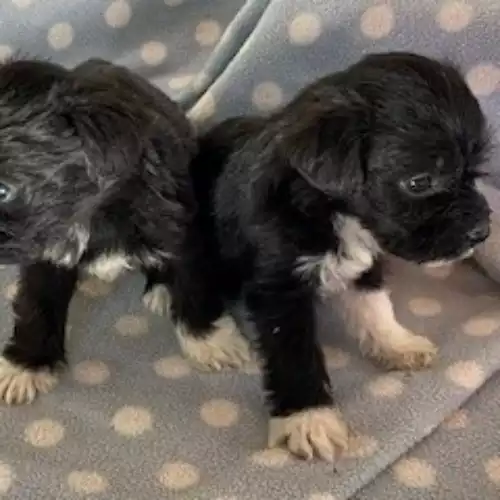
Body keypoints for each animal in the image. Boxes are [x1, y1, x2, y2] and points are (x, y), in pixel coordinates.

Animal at [0, 57, 250, 402]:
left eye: (3, 190)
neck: (92, 212)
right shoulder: (43, 251)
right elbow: (36, 301)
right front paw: (25, 365)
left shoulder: (178, 227)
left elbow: (193, 281)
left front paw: (210, 340)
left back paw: (162, 289)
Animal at [191, 52, 492, 462]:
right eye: (420, 182)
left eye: (473, 170)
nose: (482, 232)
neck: (332, 210)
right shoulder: (279, 289)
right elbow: (293, 350)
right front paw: (309, 418)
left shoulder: (364, 265)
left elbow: (375, 307)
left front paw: (397, 344)